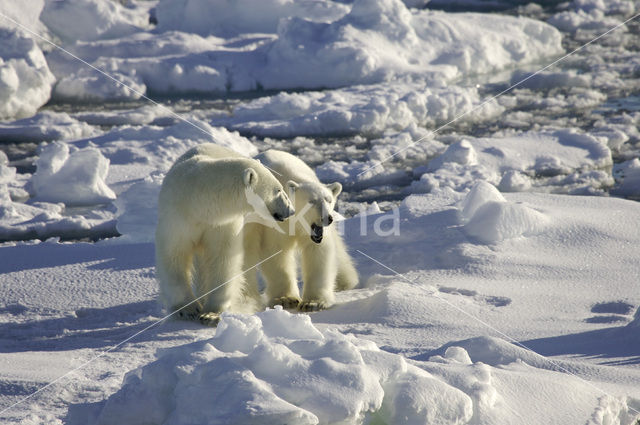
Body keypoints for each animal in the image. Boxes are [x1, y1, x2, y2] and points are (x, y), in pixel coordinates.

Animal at [244, 149, 358, 312]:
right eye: (311, 201)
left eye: (328, 200)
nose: (327, 218)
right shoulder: (275, 224)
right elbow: (276, 253)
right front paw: (286, 299)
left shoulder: (317, 235)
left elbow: (318, 254)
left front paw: (314, 302)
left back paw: (345, 282)